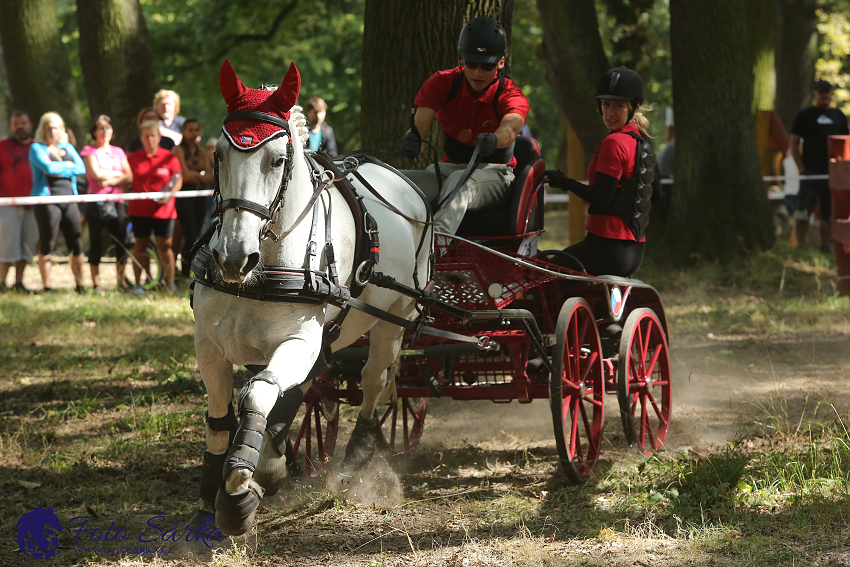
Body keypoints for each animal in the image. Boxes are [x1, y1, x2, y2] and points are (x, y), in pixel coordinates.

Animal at [191, 62, 430, 536]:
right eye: (220, 155)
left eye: (278, 159)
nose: (233, 257)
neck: (261, 271)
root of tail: (404, 181)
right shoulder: (209, 344)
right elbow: (223, 413)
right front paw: (219, 481)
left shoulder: (300, 341)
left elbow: (258, 395)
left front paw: (240, 488)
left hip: (393, 320)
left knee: (374, 380)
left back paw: (357, 452)